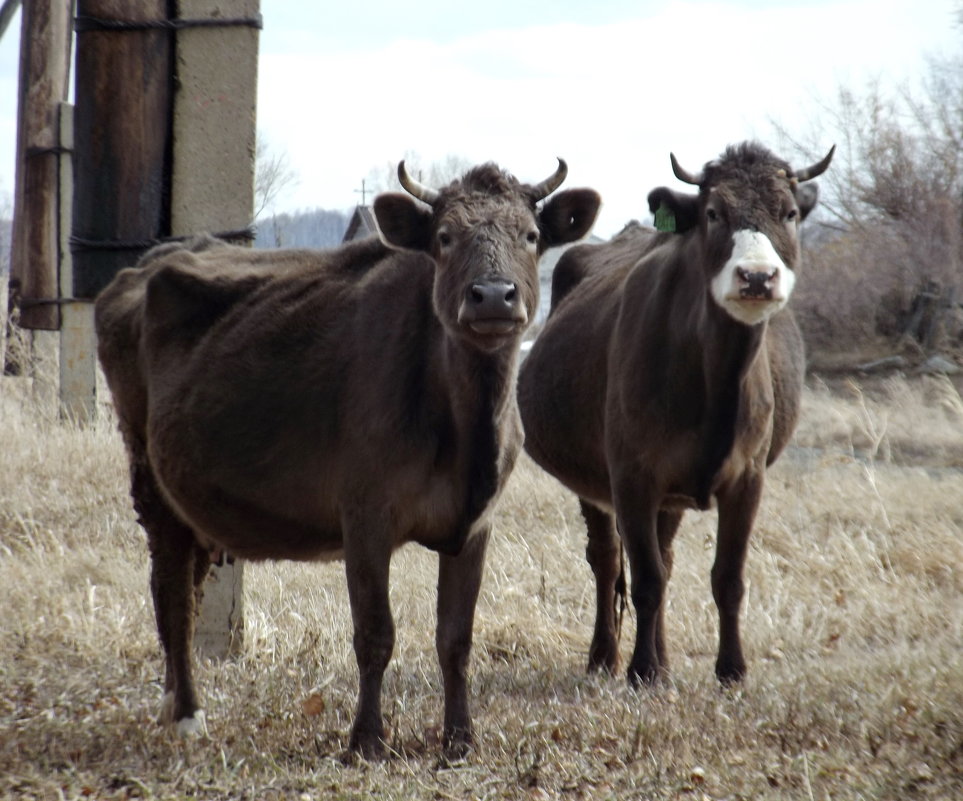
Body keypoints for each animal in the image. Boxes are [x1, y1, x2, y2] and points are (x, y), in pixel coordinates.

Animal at [94, 158, 600, 756]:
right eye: (445, 237)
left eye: (531, 235)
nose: (494, 296)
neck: (465, 430)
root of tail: (153, 259)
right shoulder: (365, 514)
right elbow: (375, 633)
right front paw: (366, 740)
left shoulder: (476, 522)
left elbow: (456, 637)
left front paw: (459, 739)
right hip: (147, 471)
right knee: (172, 590)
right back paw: (188, 713)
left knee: (186, 588)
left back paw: (173, 701)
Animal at [520, 141, 836, 684]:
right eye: (713, 213)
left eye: (789, 213)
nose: (757, 276)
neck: (717, 381)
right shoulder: (631, 475)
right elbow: (645, 577)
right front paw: (642, 671)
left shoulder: (748, 477)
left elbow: (727, 577)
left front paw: (731, 669)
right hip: (592, 477)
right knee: (608, 559)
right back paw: (605, 657)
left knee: (664, 557)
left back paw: (663, 657)